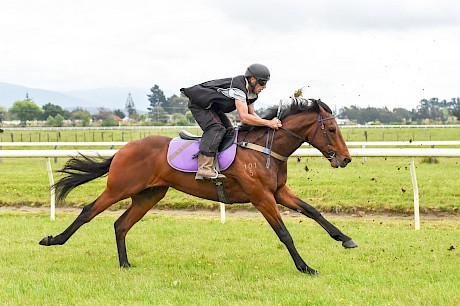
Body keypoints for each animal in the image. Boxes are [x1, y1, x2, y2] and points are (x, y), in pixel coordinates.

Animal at [39, 98, 358, 274]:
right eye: (331, 129)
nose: (346, 158)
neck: (264, 148)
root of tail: (123, 149)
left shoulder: (278, 192)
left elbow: (313, 211)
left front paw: (345, 239)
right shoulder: (261, 196)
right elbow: (284, 233)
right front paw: (305, 267)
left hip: (149, 195)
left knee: (121, 224)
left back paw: (125, 264)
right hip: (119, 188)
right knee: (88, 211)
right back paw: (53, 239)